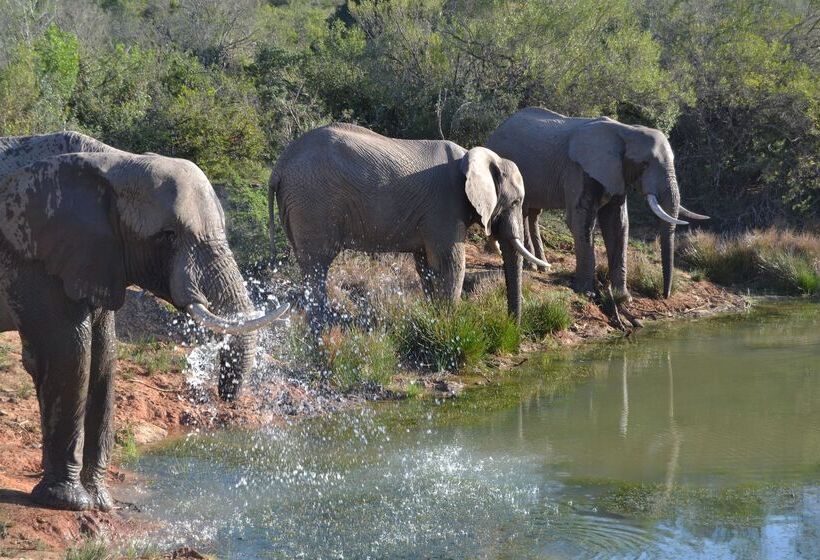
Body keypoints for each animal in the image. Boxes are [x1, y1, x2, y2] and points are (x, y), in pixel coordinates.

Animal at [0, 133, 288, 511]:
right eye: (168, 235)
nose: (225, 397)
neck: (114, 161)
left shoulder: (96, 256)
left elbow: (104, 357)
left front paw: (102, 502)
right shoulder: (30, 253)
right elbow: (68, 354)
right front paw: (68, 502)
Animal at [269, 123, 548, 328]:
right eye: (516, 201)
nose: (512, 328)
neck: (473, 156)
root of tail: (279, 165)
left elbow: (426, 266)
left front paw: (435, 316)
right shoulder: (444, 206)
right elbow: (450, 264)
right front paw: (451, 324)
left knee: (309, 264)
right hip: (312, 201)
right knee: (317, 264)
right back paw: (322, 325)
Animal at [486, 108, 708, 299]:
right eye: (644, 164)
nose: (665, 295)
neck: (625, 130)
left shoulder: (616, 173)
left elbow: (617, 224)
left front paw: (623, 298)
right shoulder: (578, 170)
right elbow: (580, 221)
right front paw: (587, 292)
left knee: (532, 213)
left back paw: (542, 267)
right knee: (522, 211)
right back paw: (526, 264)